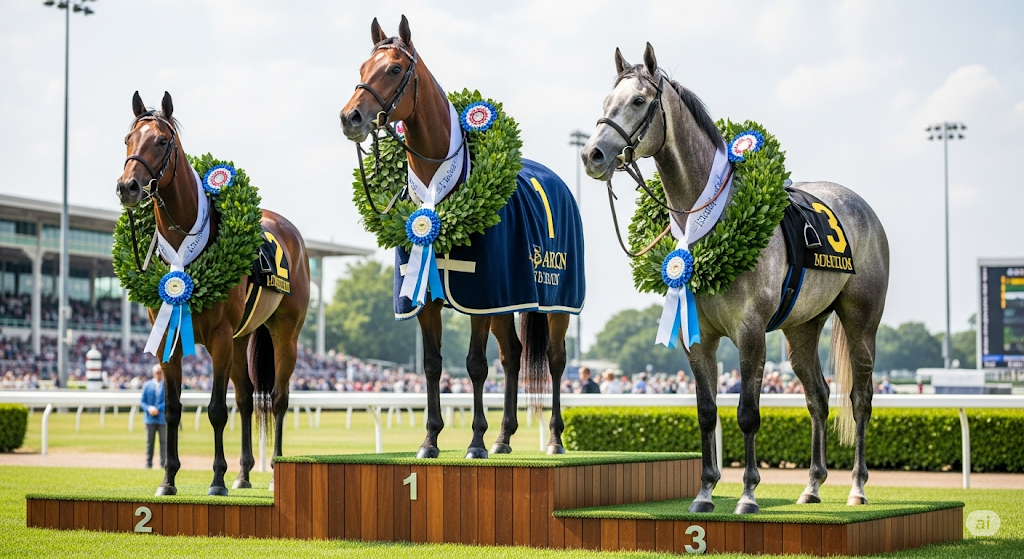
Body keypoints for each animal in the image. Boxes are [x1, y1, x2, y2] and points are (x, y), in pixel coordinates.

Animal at [116, 91, 310, 496]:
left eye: (162, 141)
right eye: (128, 139)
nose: (128, 187)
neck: (185, 250)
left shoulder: (219, 338)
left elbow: (217, 410)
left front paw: (217, 480)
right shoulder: (169, 339)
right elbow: (173, 409)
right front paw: (168, 479)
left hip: (285, 333)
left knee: (278, 399)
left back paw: (274, 469)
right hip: (241, 340)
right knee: (247, 398)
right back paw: (244, 474)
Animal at [340, 16, 582, 459]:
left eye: (395, 69)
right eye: (363, 68)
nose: (351, 117)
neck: (441, 192)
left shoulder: (478, 296)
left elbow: (474, 365)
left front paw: (475, 442)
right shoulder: (429, 297)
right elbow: (433, 364)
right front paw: (430, 440)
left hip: (556, 303)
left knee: (555, 360)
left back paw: (554, 439)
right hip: (507, 303)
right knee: (512, 356)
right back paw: (504, 436)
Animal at [581, 44, 889, 514]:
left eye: (637, 100)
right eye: (605, 102)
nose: (592, 155)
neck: (710, 217)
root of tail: (862, 208)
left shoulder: (750, 333)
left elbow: (747, 413)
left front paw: (747, 494)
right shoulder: (697, 338)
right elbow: (707, 411)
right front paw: (705, 492)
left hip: (861, 322)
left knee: (860, 399)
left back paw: (856, 486)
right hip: (802, 329)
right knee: (817, 396)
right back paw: (812, 485)